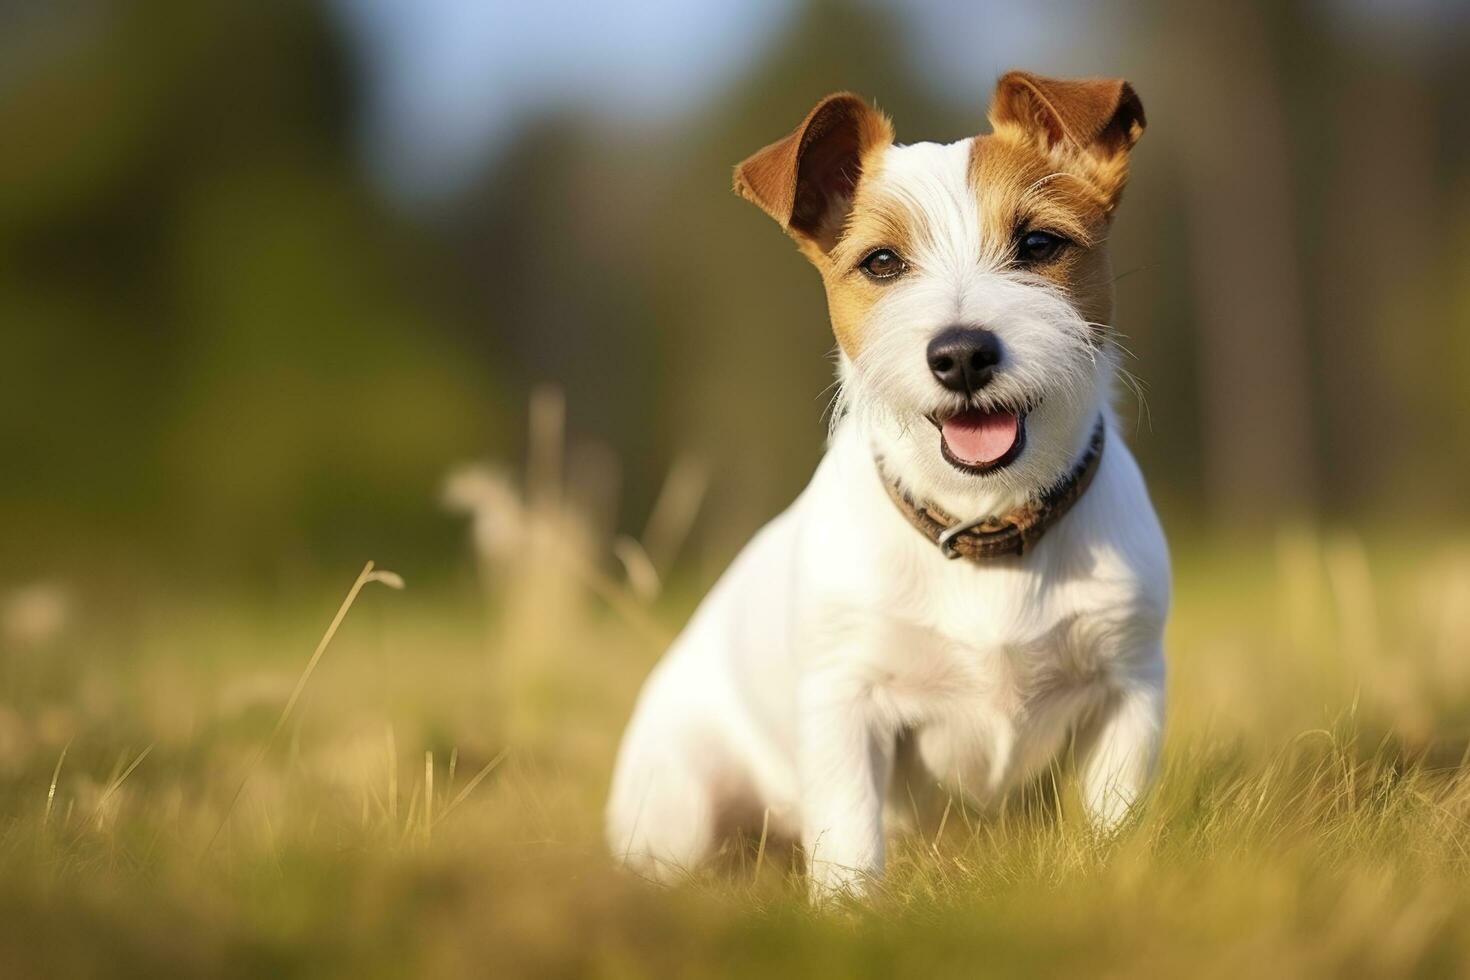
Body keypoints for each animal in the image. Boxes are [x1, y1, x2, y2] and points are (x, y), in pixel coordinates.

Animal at [602, 67, 1164, 899]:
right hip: (682, 802)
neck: (984, 522)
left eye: (1038, 243)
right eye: (881, 264)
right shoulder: (847, 706)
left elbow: (1113, 825)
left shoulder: (1128, 692)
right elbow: (850, 840)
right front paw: (849, 913)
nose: (962, 356)